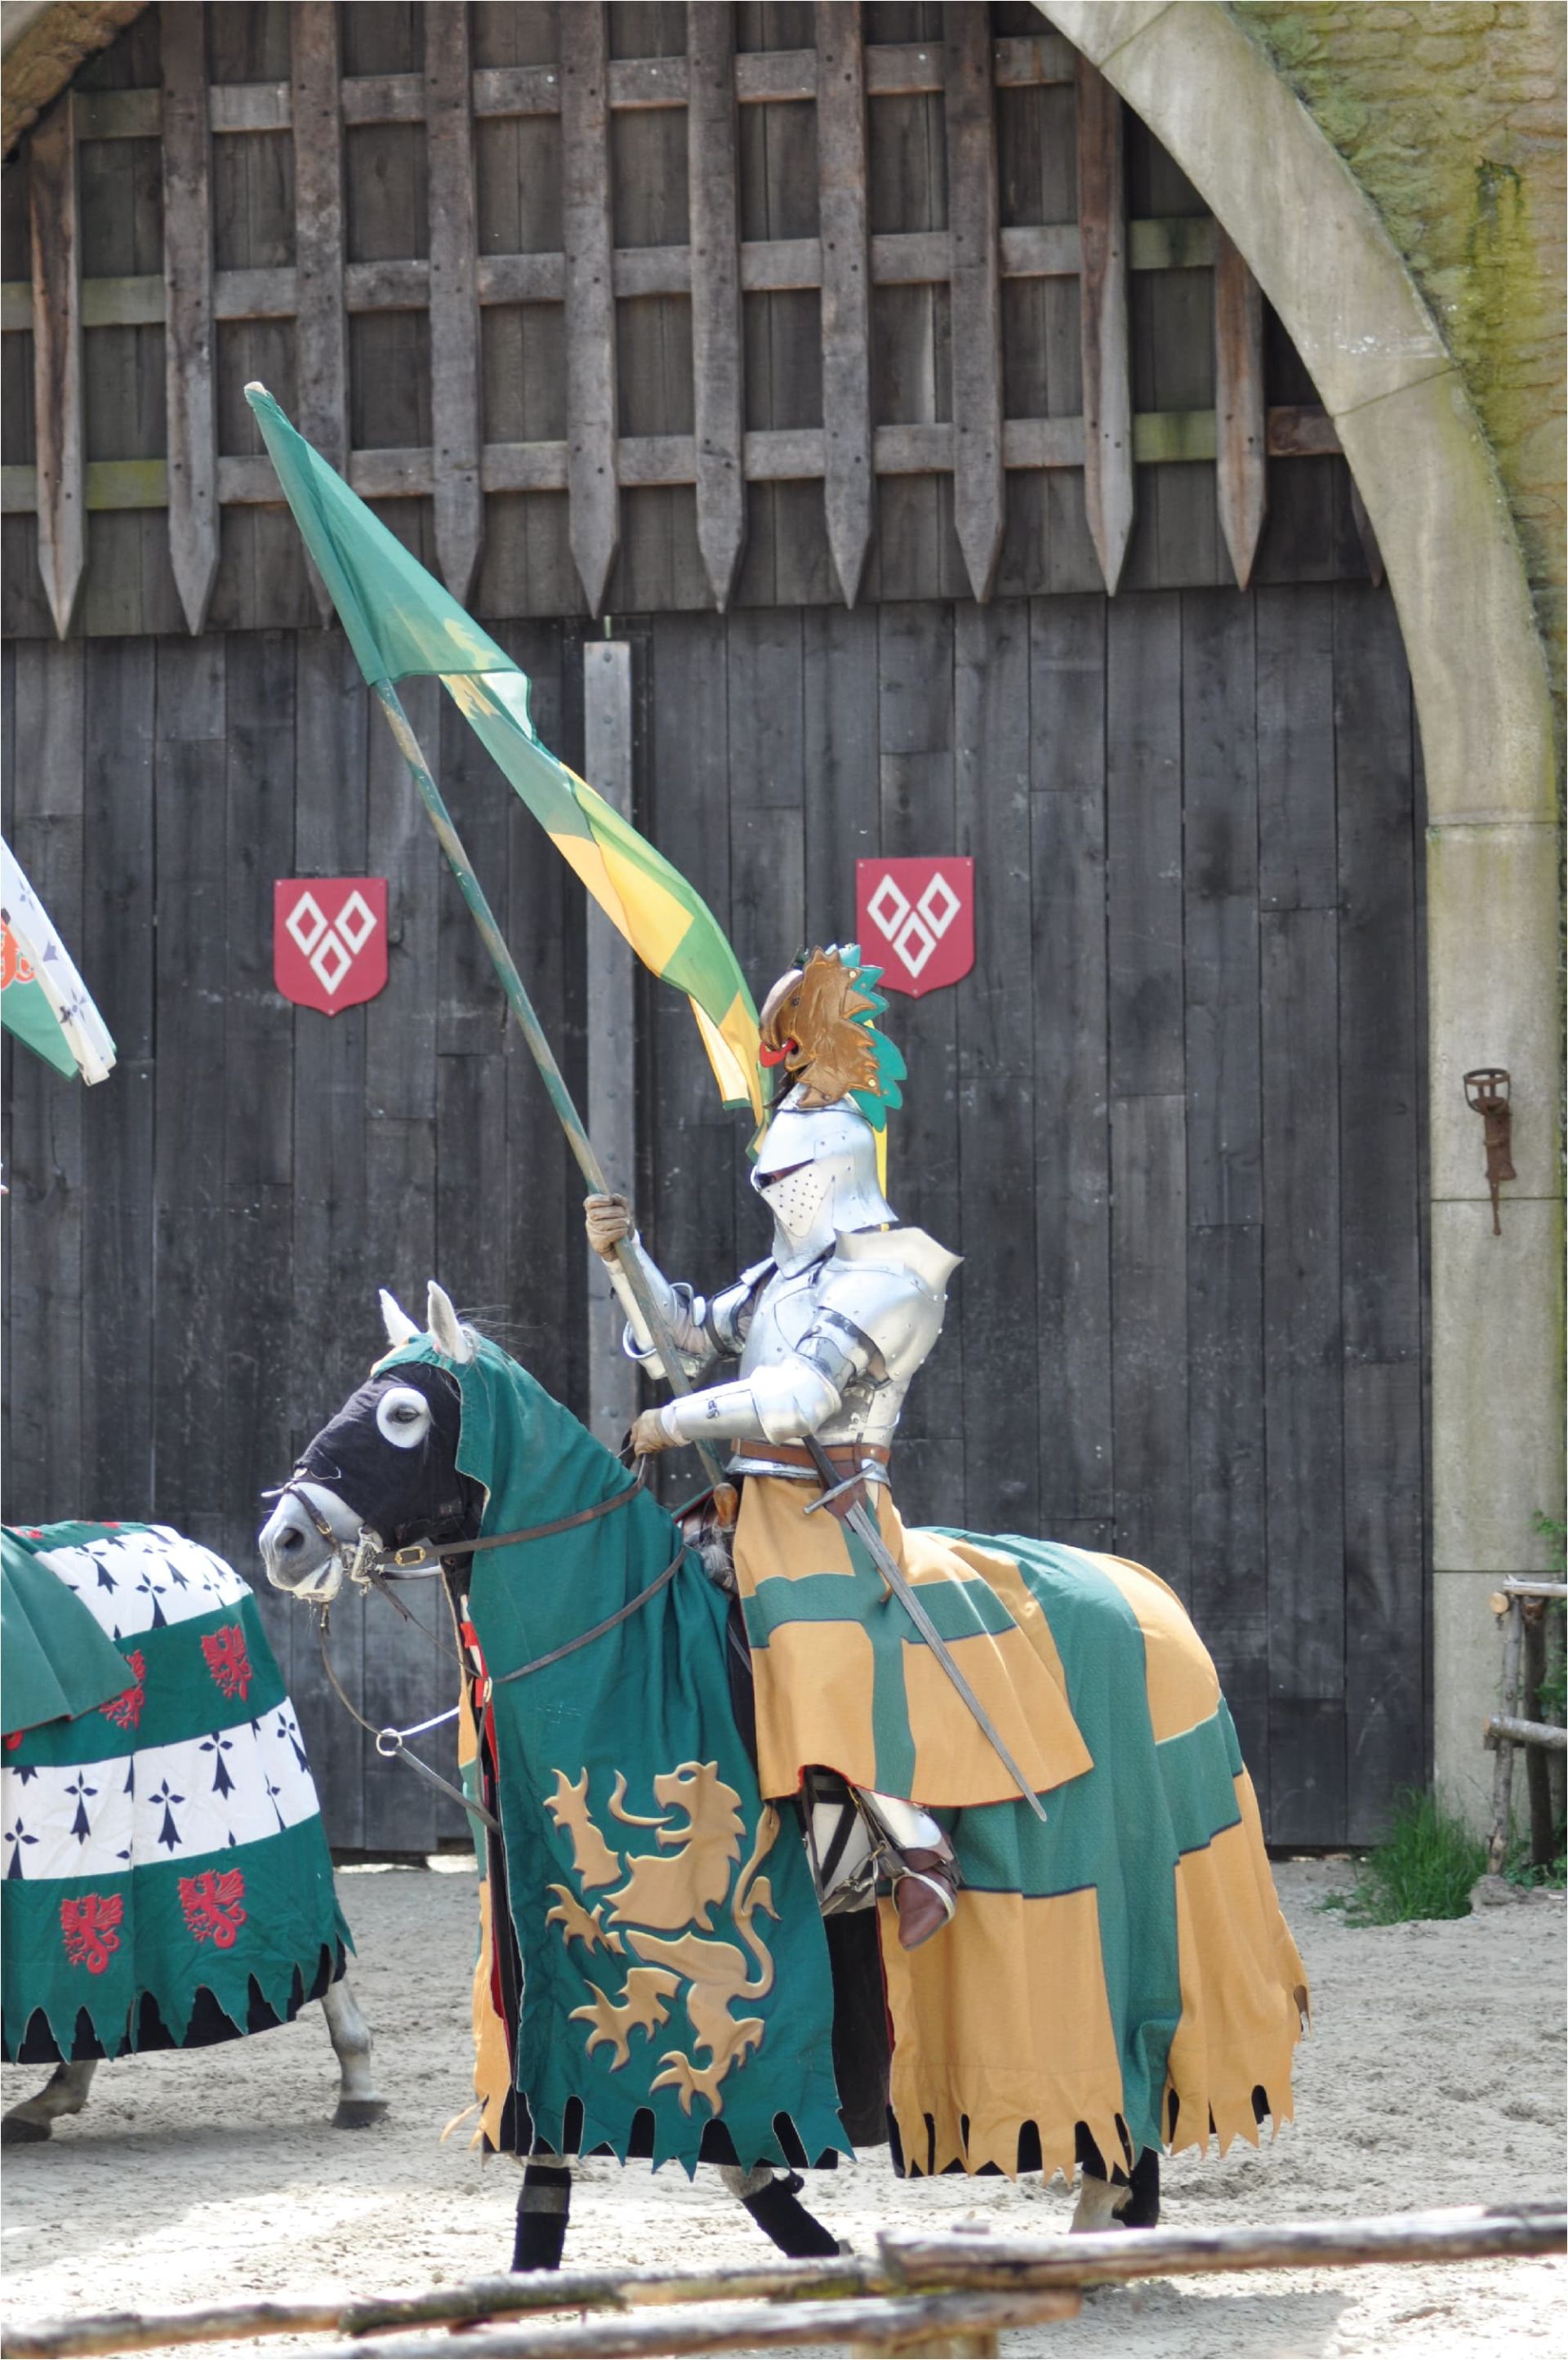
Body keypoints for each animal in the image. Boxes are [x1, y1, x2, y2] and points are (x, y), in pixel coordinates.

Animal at [260, 1293, 1312, 2265]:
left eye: (405, 1413)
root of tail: (1154, 1598)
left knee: (1131, 2078)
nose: (285, 1539)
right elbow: (569, 2148)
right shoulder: (544, 1983)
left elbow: (717, 2132)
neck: (626, 1636)